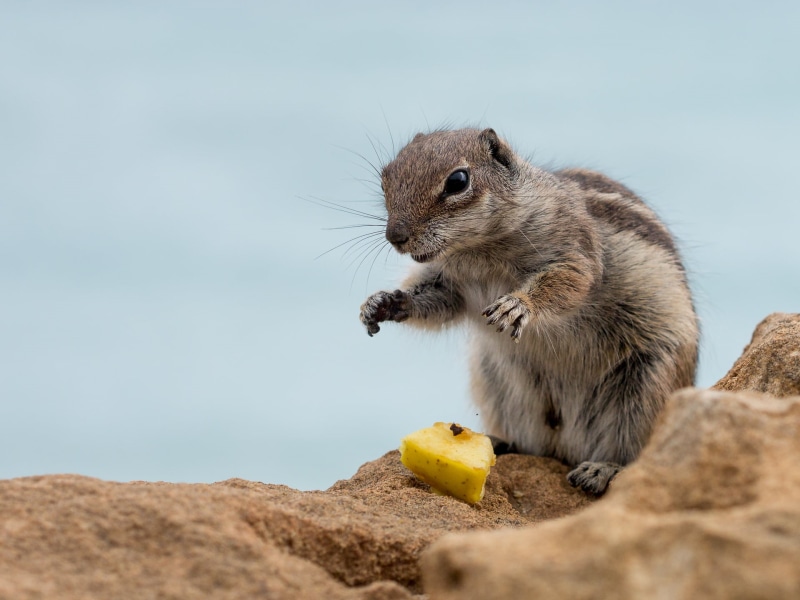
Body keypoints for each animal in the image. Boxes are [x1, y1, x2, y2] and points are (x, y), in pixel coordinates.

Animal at [359, 128, 699, 495]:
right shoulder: (449, 284)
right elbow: (437, 303)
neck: (477, 250)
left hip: (648, 386)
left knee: (637, 449)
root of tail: (568, 446)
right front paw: (382, 303)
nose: (396, 236)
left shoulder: (575, 251)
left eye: (458, 181)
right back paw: (499, 441)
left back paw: (602, 469)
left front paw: (517, 306)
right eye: (385, 178)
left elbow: (567, 281)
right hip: (497, 381)